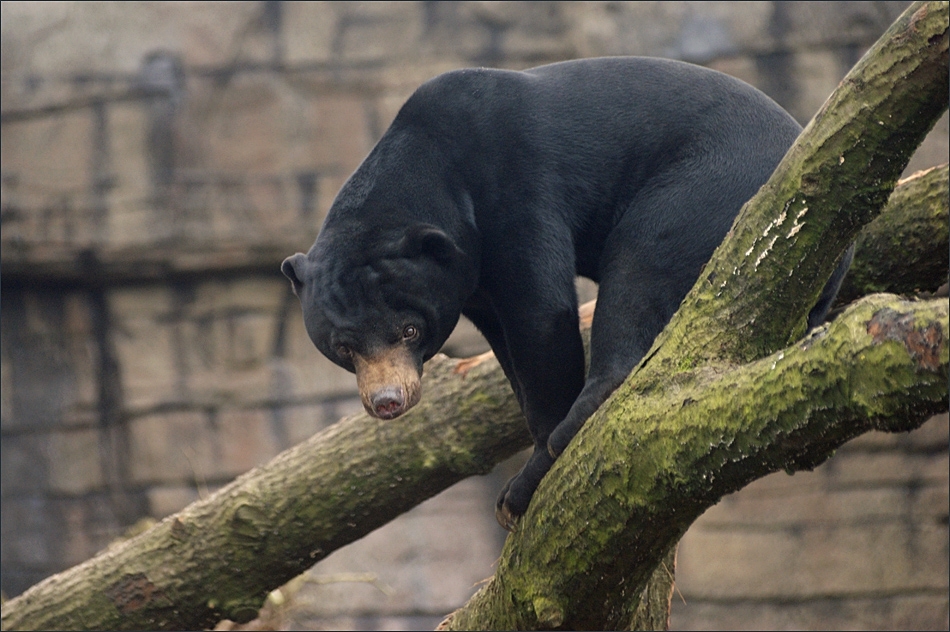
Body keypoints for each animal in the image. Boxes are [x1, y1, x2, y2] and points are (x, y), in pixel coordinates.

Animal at [282, 58, 856, 528]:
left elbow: (540, 319)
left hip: (704, 191)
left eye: (409, 329)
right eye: (343, 347)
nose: (387, 402)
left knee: (640, 268)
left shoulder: (517, 193)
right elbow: (509, 346)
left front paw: (524, 482)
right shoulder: (473, 279)